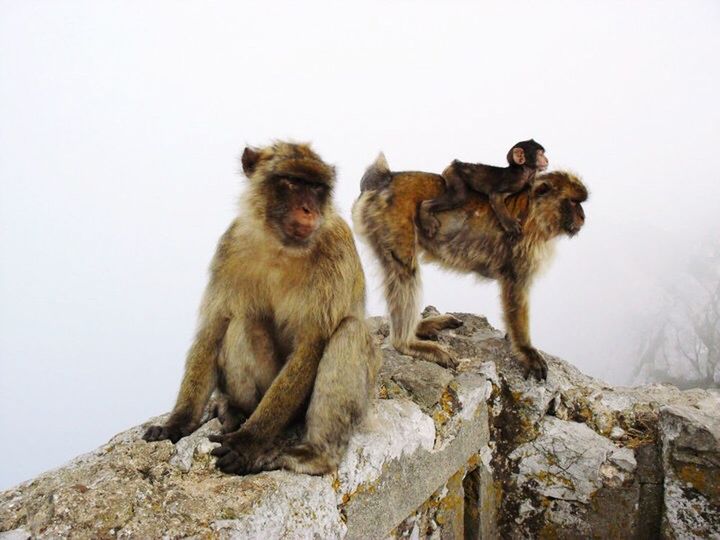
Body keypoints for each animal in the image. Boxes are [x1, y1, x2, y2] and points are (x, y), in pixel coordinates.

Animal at [146, 141, 382, 474]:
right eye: (293, 182)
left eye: (317, 187)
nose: (308, 209)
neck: (281, 246)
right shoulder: (230, 245)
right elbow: (214, 327)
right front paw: (178, 422)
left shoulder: (336, 246)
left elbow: (312, 342)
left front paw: (247, 443)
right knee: (243, 321)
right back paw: (236, 409)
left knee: (349, 331)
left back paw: (314, 454)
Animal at [352, 152, 584, 380]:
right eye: (573, 202)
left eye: (580, 202)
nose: (582, 217)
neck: (535, 213)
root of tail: (385, 178)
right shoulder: (521, 250)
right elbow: (515, 291)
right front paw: (525, 350)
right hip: (390, 220)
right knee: (404, 271)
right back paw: (406, 343)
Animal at [420, 139, 548, 238]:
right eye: (540, 154)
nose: (546, 160)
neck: (522, 171)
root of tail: (454, 163)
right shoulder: (513, 182)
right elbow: (495, 196)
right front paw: (510, 224)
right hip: (453, 173)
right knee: (458, 197)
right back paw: (425, 211)